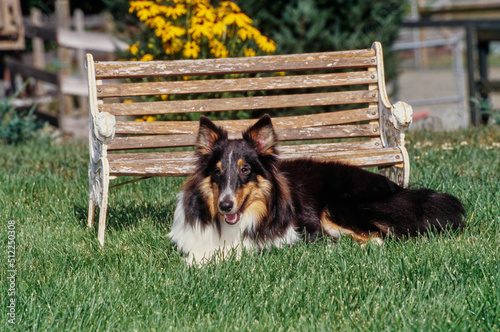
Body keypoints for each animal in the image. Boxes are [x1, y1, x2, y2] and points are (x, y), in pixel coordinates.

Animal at [168, 115, 464, 264]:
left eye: (245, 170)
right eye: (217, 171)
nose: (225, 205)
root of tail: (397, 189)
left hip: (338, 206)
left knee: (378, 237)